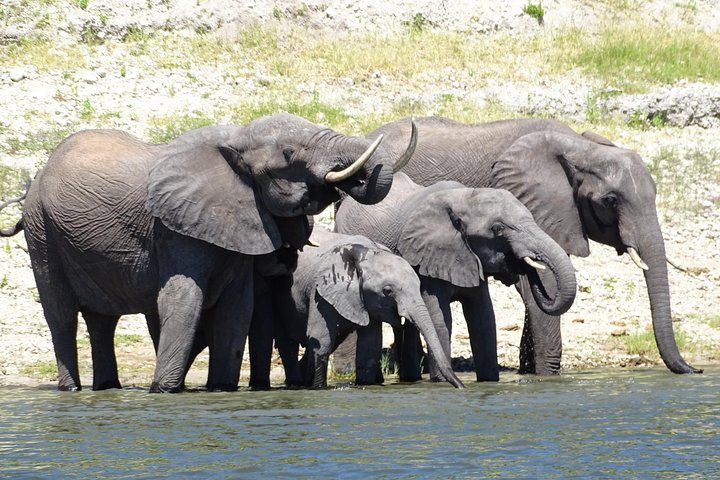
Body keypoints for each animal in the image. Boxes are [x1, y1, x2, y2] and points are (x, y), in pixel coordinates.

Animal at [2, 113, 416, 394]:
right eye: (289, 154)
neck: (235, 138)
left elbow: (238, 308)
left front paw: (221, 390)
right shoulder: (174, 227)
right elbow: (184, 299)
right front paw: (164, 391)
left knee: (101, 320)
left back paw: (107, 388)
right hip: (42, 230)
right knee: (61, 314)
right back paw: (71, 389)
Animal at [248, 227, 464, 388]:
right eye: (387, 291)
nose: (461, 387)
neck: (367, 253)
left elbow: (370, 347)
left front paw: (365, 385)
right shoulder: (321, 291)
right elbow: (320, 340)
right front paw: (318, 389)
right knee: (287, 342)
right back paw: (296, 383)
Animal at [334, 172, 576, 382]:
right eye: (498, 229)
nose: (526, 262)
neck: (464, 199)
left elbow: (484, 319)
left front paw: (489, 382)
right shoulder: (426, 257)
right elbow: (441, 320)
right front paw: (441, 382)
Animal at [362, 116, 700, 376]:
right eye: (611, 201)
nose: (695, 370)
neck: (579, 147)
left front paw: (530, 371)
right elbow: (546, 282)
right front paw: (547, 377)